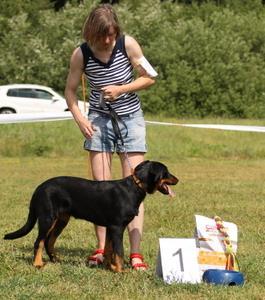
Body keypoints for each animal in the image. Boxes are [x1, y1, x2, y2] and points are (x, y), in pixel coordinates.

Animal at [3, 162, 177, 272]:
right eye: (166, 172)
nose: (177, 179)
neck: (135, 187)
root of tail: (39, 188)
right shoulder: (117, 227)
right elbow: (119, 251)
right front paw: (121, 271)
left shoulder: (110, 227)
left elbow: (109, 249)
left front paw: (110, 267)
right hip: (47, 218)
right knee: (39, 241)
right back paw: (38, 264)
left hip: (62, 220)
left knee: (49, 241)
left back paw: (55, 260)